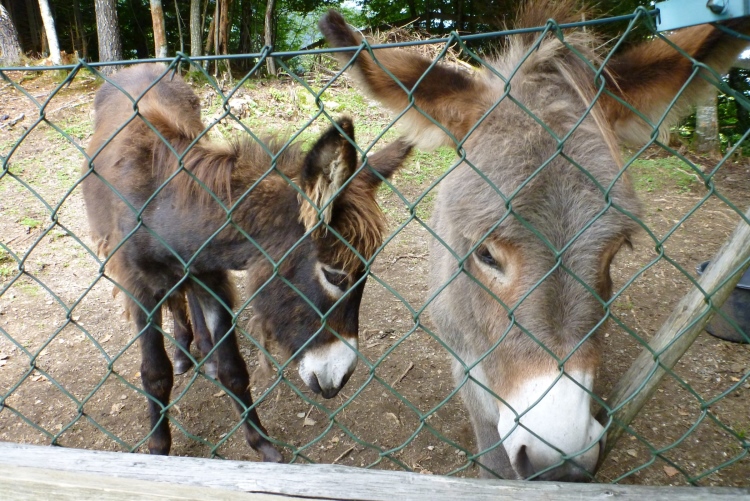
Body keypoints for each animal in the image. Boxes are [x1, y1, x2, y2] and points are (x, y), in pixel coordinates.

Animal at [82, 63, 412, 460]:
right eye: (335, 275)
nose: (340, 380)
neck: (162, 204)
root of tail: (137, 68)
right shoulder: (138, 288)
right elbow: (155, 374)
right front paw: (159, 447)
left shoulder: (212, 276)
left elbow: (234, 370)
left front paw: (260, 442)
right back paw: (183, 352)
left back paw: (199, 350)